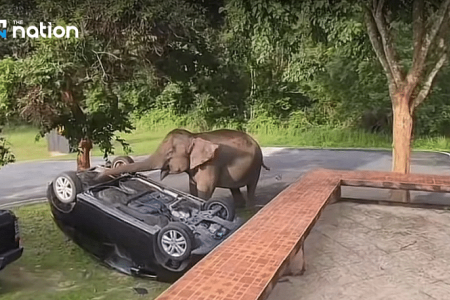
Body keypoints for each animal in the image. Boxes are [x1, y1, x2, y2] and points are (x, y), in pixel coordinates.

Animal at [100, 129, 268, 209]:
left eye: (169, 153)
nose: (104, 169)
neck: (193, 136)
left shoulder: (210, 164)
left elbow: (204, 190)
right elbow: (193, 187)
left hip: (256, 165)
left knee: (252, 185)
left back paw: (249, 208)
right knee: (234, 188)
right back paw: (240, 207)